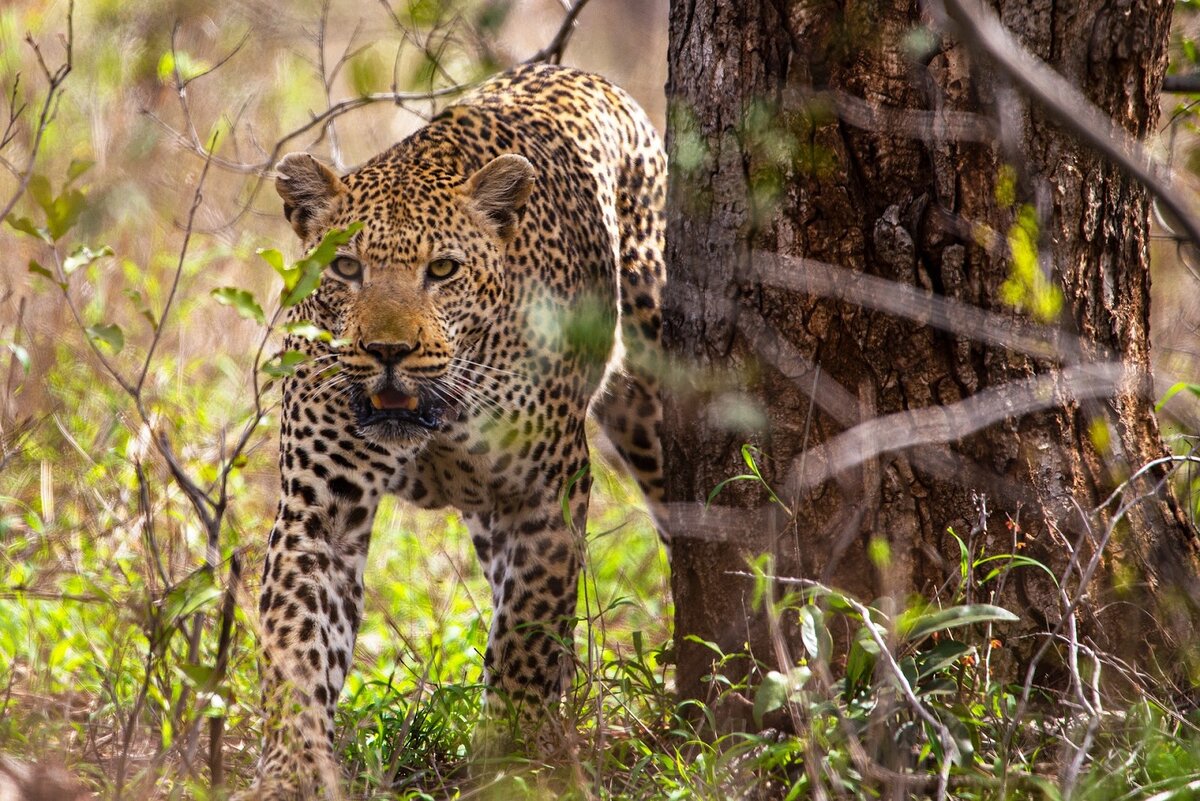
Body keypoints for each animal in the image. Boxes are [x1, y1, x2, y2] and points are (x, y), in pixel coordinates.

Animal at [246, 64, 667, 801]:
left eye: (442, 270)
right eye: (346, 268)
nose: (388, 350)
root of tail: (585, 75)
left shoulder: (543, 494)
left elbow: (528, 638)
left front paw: (514, 765)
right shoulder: (319, 510)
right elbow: (295, 641)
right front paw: (291, 773)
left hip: (647, 394)